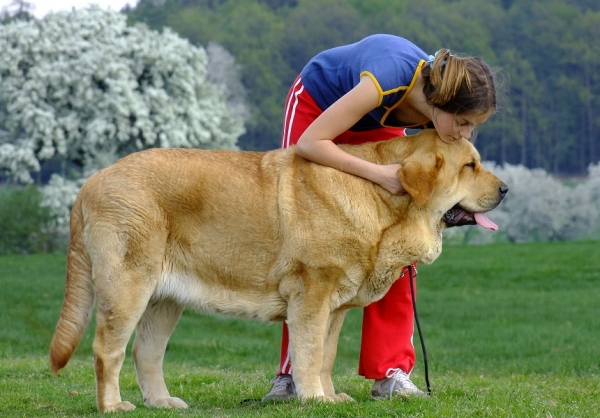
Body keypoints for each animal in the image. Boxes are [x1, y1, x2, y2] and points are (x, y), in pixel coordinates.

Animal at [49, 130, 506, 412]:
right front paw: (313, 399)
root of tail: (90, 183)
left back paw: (162, 403)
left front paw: (329, 396)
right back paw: (112, 405)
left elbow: (326, 355)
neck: (382, 197)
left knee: (146, 353)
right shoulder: (312, 293)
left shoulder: (333, 307)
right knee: (107, 350)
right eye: (470, 166)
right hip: (127, 287)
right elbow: (308, 352)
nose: (505, 189)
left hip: (165, 301)